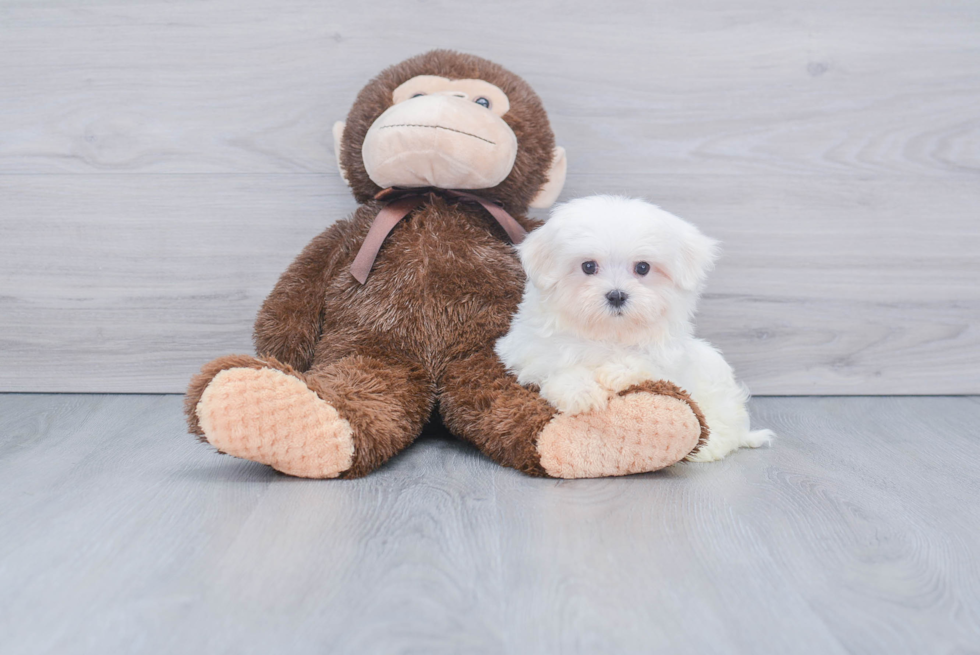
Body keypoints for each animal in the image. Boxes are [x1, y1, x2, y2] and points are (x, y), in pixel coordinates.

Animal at [498, 193, 772, 462]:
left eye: (642, 267)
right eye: (588, 266)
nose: (617, 295)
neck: (611, 334)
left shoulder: (672, 364)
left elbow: (649, 363)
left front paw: (617, 372)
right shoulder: (528, 352)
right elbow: (554, 366)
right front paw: (580, 391)